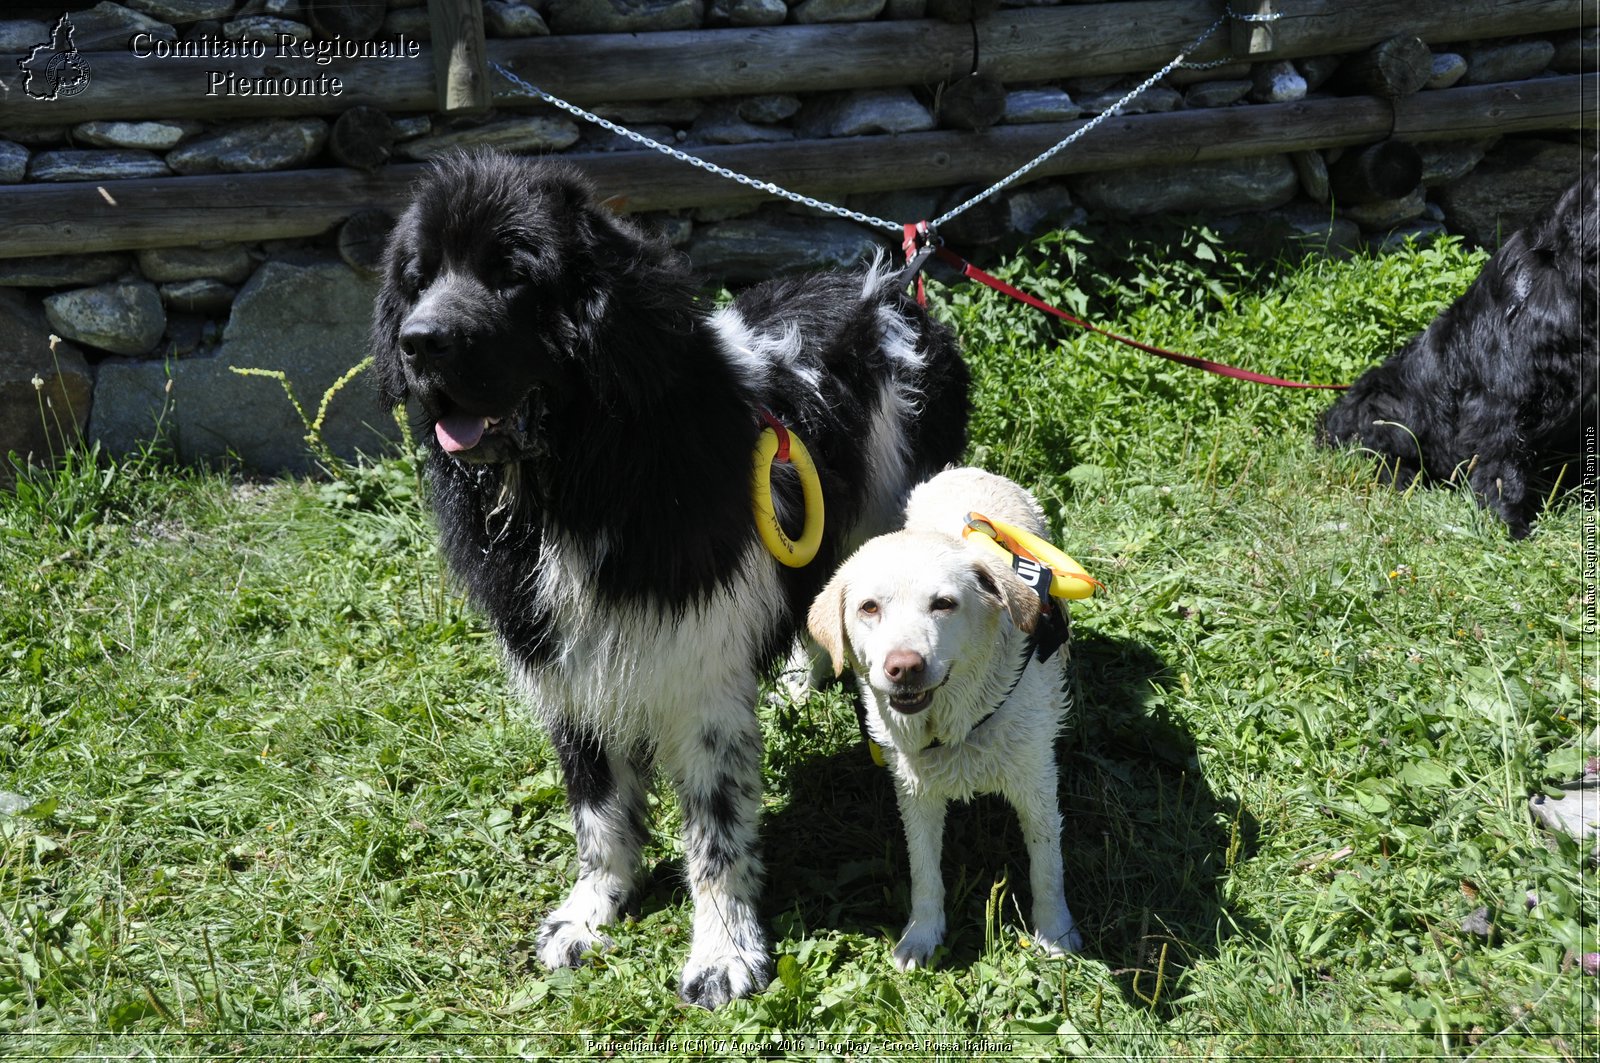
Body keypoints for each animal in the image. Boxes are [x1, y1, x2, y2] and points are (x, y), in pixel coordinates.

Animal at [372, 153, 966, 1011]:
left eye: (513, 274)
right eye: (418, 279)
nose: (419, 342)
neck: (583, 477)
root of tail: (886, 290)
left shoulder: (698, 671)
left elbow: (714, 831)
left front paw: (723, 951)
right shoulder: (568, 662)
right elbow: (597, 809)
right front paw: (591, 911)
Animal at [806, 470, 1081, 966]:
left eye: (944, 604)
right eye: (869, 607)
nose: (904, 667)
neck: (958, 725)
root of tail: (965, 470)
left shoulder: (1035, 783)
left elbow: (1047, 864)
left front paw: (1056, 933)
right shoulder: (915, 791)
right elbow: (924, 872)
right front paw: (921, 936)